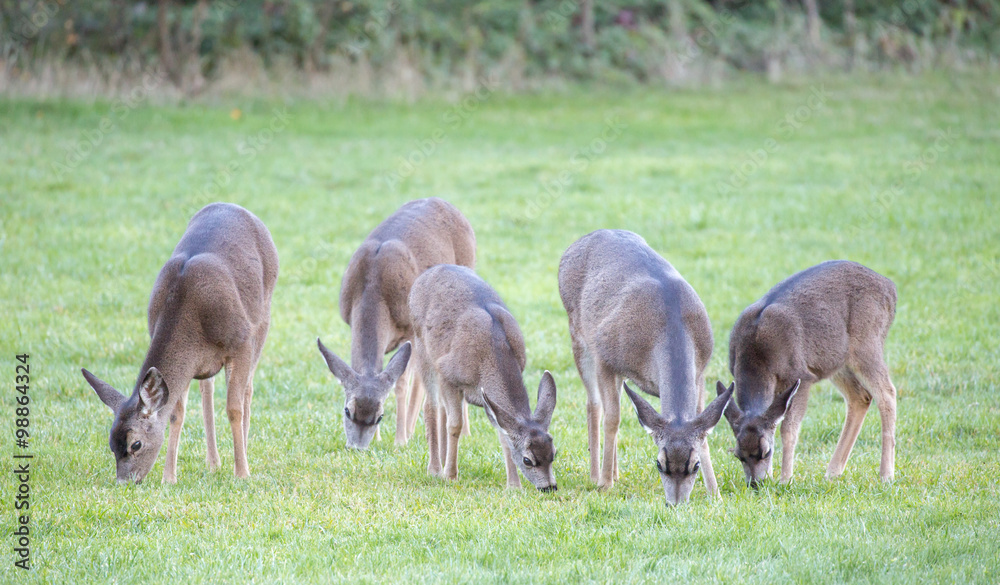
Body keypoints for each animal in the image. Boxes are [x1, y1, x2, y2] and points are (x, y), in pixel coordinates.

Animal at [82, 203, 278, 484]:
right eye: (111, 445)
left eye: (136, 444)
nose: (124, 482)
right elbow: (176, 413)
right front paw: (169, 477)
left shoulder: (240, 342)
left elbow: (234, 407)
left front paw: (242, 473)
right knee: (207, 389)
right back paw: (213, 462)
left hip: (263, 317)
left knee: (248, 389)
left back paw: (242, 454)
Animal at [317, 197, 476, 450]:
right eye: (347, 411)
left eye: (380, 416)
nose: (356, 448)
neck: (373, 288)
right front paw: (383, 438)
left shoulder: (409, 329)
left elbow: (401, 383)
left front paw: (400, 439)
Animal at [409, 264, 558, 491]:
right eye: (527, 459)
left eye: (554, 453)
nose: (549, 487)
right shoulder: (447, 373)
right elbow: (455, 424)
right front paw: (451, 475)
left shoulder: (489, 398)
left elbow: (503, 435)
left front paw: (513, 485)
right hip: (422, 348)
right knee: (430, 406)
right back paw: (435, 469)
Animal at [558, 229, 732, 505]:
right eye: (659, 464)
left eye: (694, 465)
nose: (675, 504)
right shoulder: (605, 357)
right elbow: (613, 418)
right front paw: (604, 485)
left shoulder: (701, 372)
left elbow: (704, 431)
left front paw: (714, 492)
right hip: (577, 334)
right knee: (594, 404)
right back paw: (597, 475)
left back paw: (615, 473)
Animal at [718, 260, 898, 485]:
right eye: (737, 455)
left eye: (766, 452)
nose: (755, 484)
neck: (759, 356)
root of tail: (891, 289)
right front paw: (774, 476)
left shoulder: (801, 376)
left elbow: (788, 428)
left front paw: (785, 479)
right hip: (835, 360)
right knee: (860, 397)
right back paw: (832, 472)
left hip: (867, 342)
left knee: (887, 393)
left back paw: (886, 475)